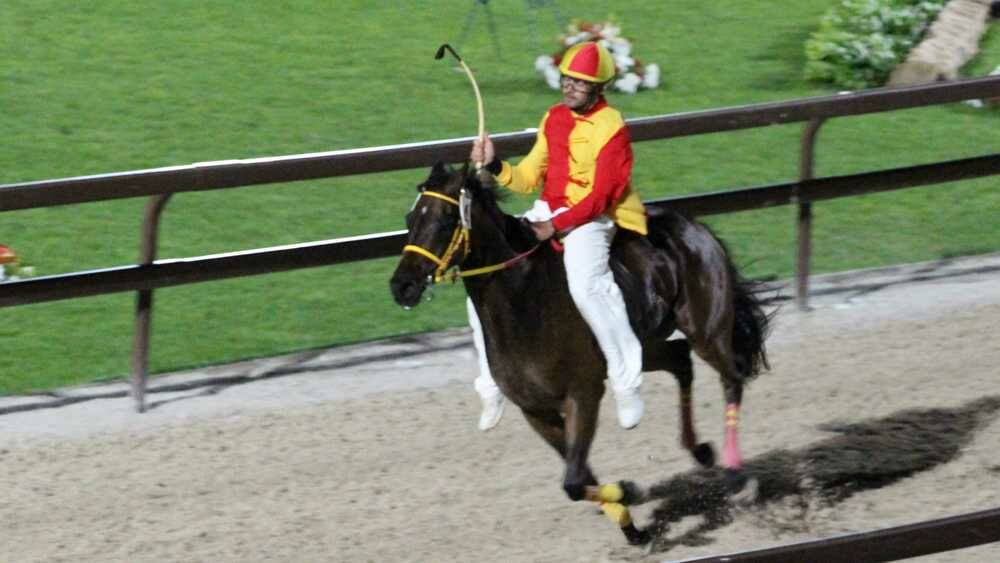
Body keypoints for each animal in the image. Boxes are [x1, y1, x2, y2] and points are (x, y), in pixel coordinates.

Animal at [386, 164, 768, 548]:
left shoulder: (582, 394)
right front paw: (632, 525)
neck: (525, 302)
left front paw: (629, 492)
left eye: (446, 218)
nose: (401, 285)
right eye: (410, 218)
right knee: (680, 359)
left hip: (707, 330)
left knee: (731, 378)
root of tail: (692, 224)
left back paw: (738, 473)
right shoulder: (536, 411)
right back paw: (700, 450)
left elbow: (572, 481)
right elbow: (580, 476)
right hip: (640, 348)